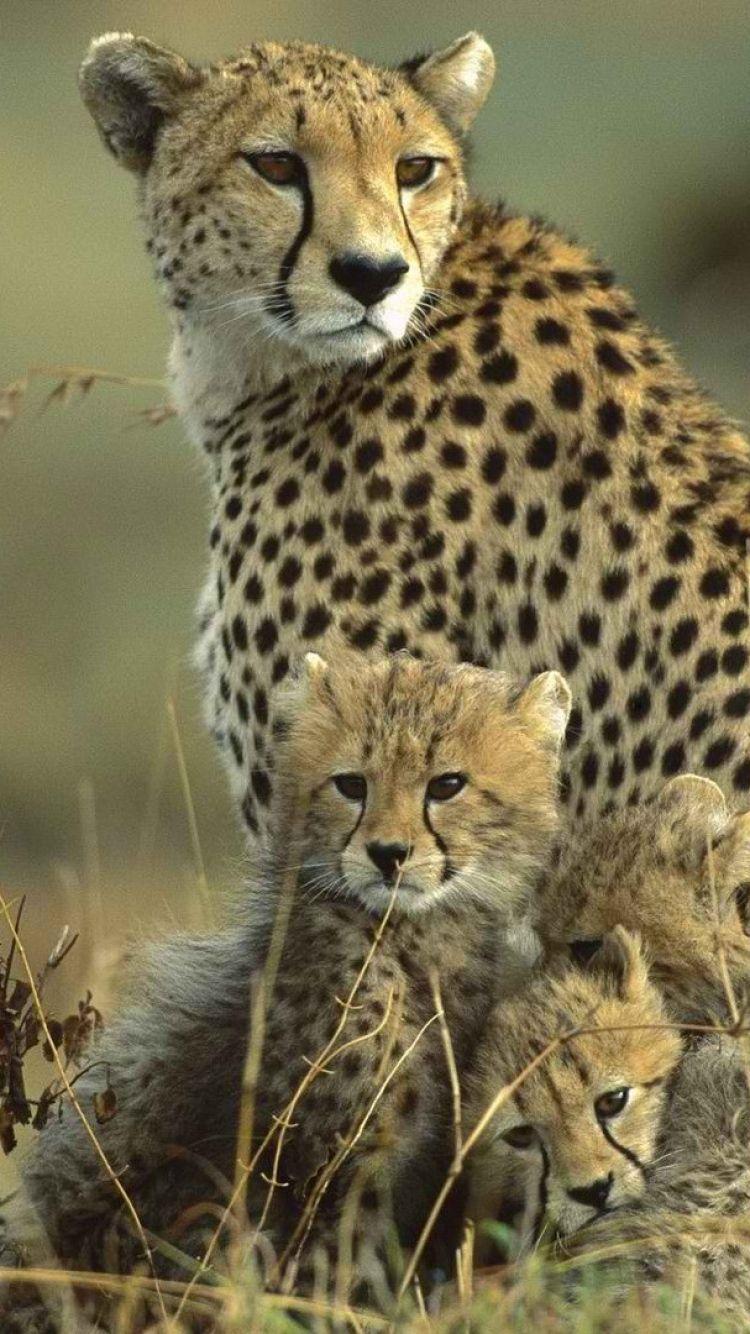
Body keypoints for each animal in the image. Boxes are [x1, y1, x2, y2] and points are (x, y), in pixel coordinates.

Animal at [4, 653, 569, 1324]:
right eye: (351, 784)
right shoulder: (329, 1167)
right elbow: (340, 1268)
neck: (413, 937)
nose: (388, 853)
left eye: (446, 785)